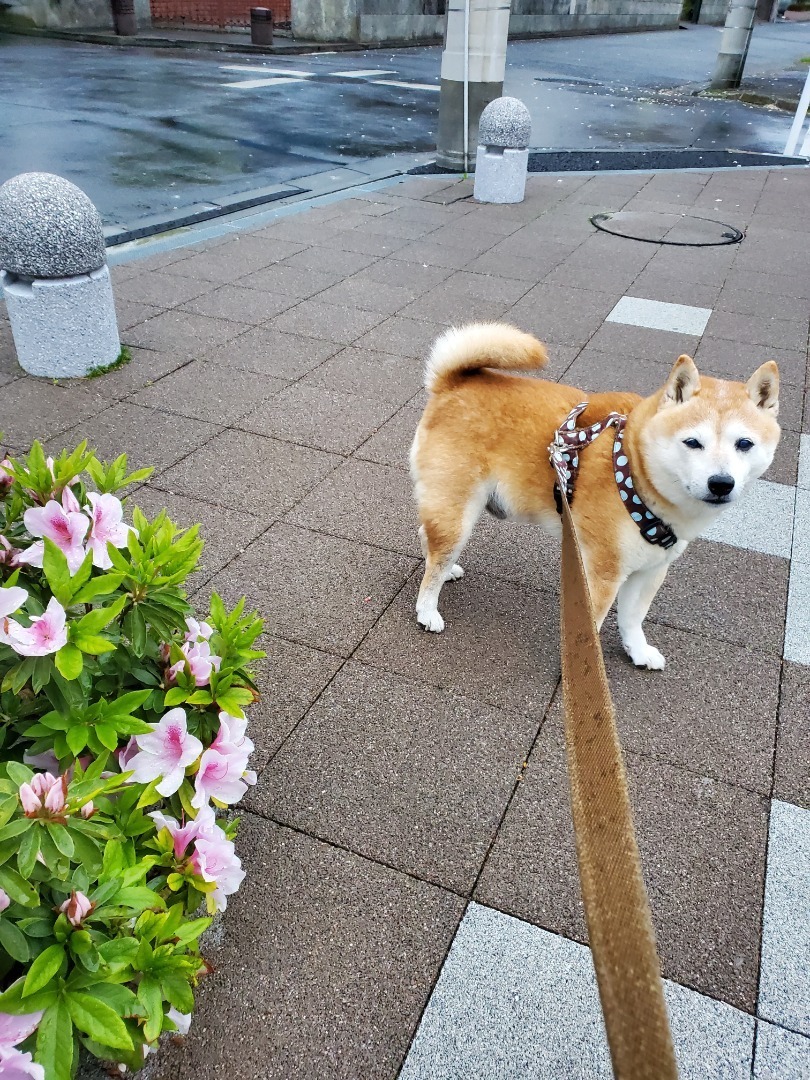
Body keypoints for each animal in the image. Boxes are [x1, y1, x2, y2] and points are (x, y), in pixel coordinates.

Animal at [412, 319, 781, 665]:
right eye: (692, 442)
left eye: (744, 444)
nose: (721, 483)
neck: (634, 468)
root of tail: (451, 383)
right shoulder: (603, 571)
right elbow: (593, 626)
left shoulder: (650, 570)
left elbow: (633, 618)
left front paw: (638, 651)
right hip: (457, 512)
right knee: (436, 558)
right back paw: (428, 608)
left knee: (427, 538)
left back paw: (446, 570)